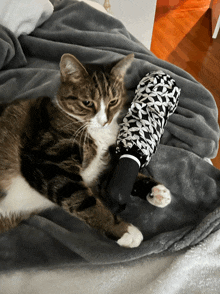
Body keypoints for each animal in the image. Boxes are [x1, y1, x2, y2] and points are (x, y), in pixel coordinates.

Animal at [0, 53, 170, 248]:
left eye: (113, 101)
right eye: (87, 103)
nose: (104, 121)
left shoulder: (99, 169)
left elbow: (119, 175)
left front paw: (156, 190)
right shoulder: (45, 161)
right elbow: (84, 201)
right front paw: (124, 231)